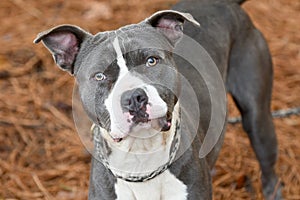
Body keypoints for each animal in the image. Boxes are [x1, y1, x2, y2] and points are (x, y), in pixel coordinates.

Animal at [34, 0, 282, 199]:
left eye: (151, 61)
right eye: (99, 76)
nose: (133, 98)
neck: (141, 158)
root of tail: (224, 3)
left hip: (257, 117)